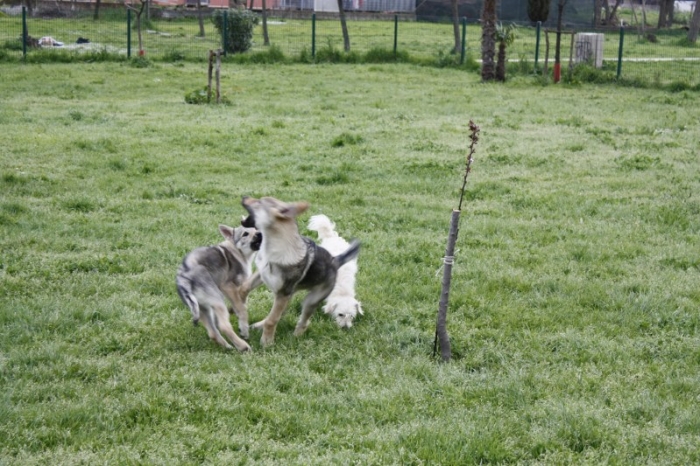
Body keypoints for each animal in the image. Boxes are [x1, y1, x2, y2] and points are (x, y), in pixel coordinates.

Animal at [176, 224, 262, 352]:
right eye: (245, 234)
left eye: (256, 229)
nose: (260, 233)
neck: (237, 250)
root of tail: (184, 277)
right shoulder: (228, 287)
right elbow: (242, 307)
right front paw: (243, 328)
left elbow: (242, 301)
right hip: (218, 300)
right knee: (224, 326)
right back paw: (243, 346)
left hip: (203, 309)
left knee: (212, 333)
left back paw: (229, 347)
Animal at [242, 196, 360, 346]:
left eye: (260, 201)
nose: (244, 197)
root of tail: (335, 260)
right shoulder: (263, 275)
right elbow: (245, 287)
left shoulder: (283, 293)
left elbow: (272, 320)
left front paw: (267, 342)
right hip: (289, 296)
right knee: (281, 313)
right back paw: (259, 325)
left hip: (310, 300)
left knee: (304, 321)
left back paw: (296, 337)